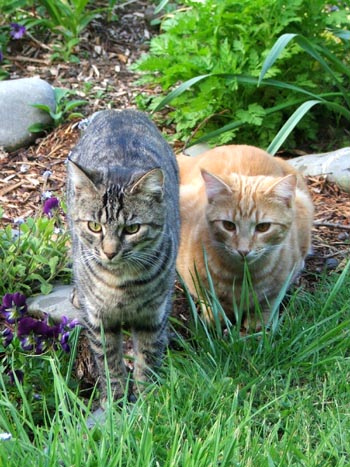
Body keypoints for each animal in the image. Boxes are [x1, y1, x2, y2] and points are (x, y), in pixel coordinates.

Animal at [66, 110, 180, 402]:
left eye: (132, 229)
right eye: (94, 226)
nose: (109, 251)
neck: (122, 283)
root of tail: (119, 111)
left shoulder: (154, 315)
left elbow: (147, 358)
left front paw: (146, 398)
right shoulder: (98, 320)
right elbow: (109, 361)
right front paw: (116, 399)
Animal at [176, 144, 314, 328]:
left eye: (263, 227)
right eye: (228, 225)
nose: (243, 250)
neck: (242, 278)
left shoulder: (286, 278)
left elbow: (269, 302)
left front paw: (258, 322)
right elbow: (207, 297)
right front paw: (215, 317)